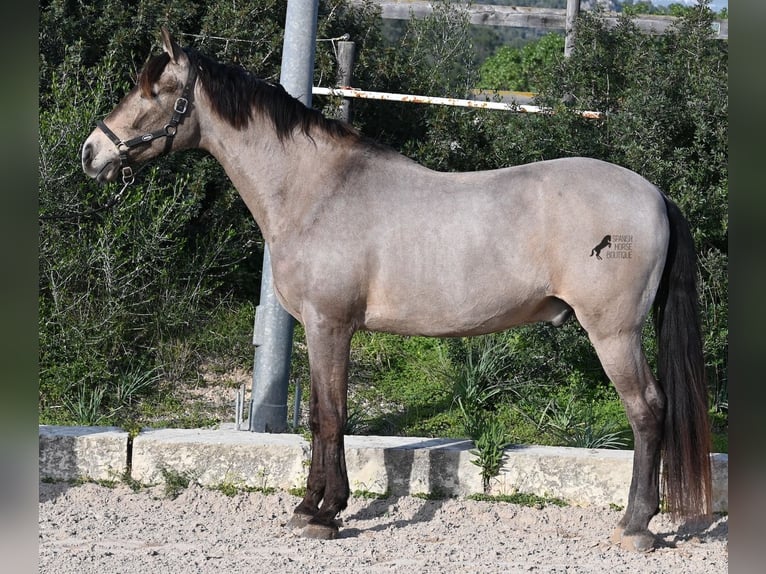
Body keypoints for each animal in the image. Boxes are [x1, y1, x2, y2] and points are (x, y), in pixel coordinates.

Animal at [81, 29, 712, 552]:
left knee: (647, 411)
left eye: (156, 90)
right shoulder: (324, 329)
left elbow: (329, 416)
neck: (317, 190)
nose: (93, 151)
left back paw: (636, 526)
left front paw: (323, 514)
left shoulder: (329, 324)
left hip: (614, 332)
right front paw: (314, 507)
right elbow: (324, 413)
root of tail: (654, 194)